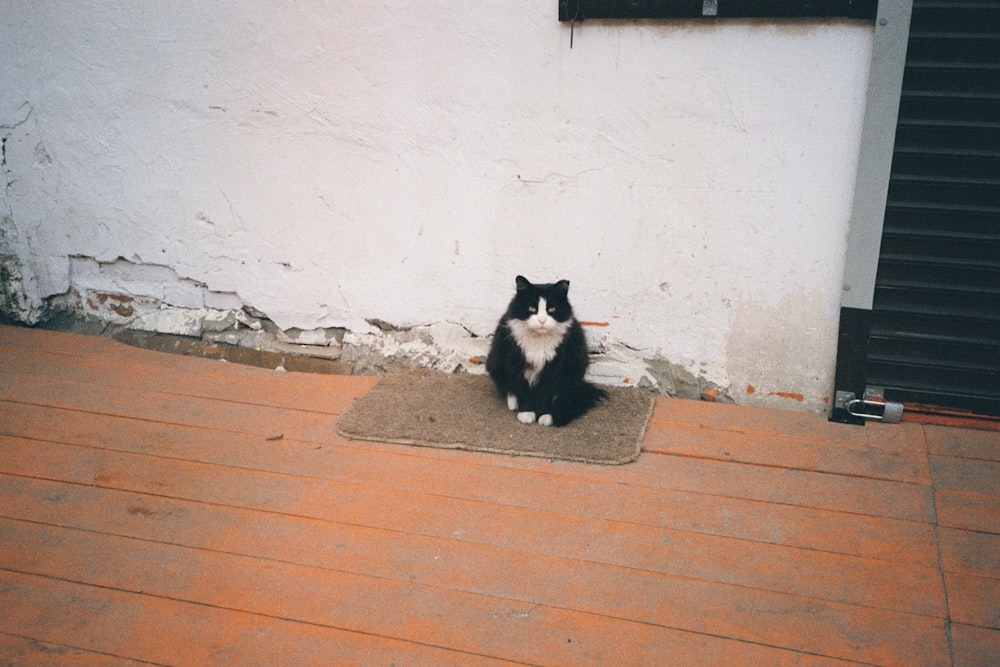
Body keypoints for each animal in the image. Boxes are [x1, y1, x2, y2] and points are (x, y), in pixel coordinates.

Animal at [482, 276, 600, 428]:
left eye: (551, 309)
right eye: (532, 308)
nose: (542, 320)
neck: (538, 339)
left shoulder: (553, 366)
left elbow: (545, 393)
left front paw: (544, 415)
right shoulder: (516, 363)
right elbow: (523, 390)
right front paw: (526, 413)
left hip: (577, 364)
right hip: (495, 362)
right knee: (508, 388)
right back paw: (513, 403)